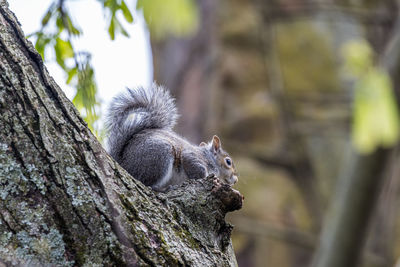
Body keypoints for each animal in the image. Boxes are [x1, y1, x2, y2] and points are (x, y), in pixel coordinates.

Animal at [105, 85, 238, 192]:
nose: (236, 180)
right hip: (159, 156)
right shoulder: (192, 157)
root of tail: (123, 163)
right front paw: (205, 177)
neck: (210, 157)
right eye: (228, 162)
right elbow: (195, 167)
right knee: (146, 182)